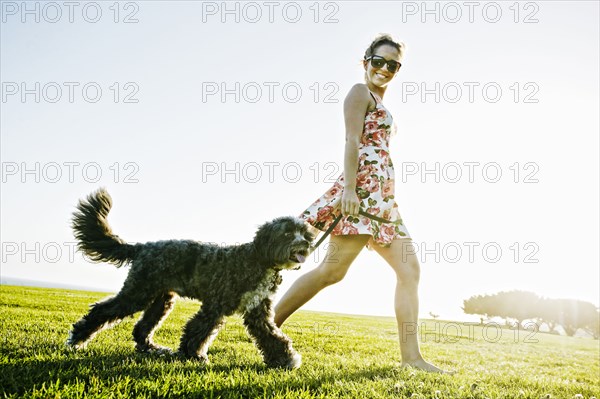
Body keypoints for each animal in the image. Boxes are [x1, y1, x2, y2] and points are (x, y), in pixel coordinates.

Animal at [66, 189, 314, 370]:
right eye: (287, 233)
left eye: (304, 232)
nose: (307, 243)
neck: (259, 259)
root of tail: (142, 247)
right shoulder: (215, 305)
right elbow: (199, 329)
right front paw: (193, 354)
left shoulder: (258, 311)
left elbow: (271, 335)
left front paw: (284, 359)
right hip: (138, 293)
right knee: (103, 310)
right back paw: (77, 339)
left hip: (161, 299)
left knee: (141, 328)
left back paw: (152, 348)